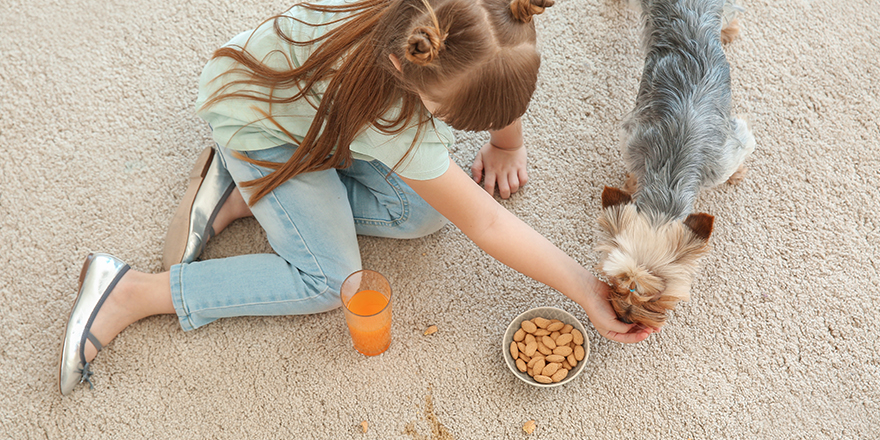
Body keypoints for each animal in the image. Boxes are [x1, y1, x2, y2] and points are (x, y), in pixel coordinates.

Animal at [600, 0, 756, 328]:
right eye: (619, 281)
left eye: (656, 296)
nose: (625, 318)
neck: (670, 170)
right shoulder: (632, 141)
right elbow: (634, 173)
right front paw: (631, 186)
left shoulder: (729, 151)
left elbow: (740, 153)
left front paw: (738, 174)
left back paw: (728, 31)